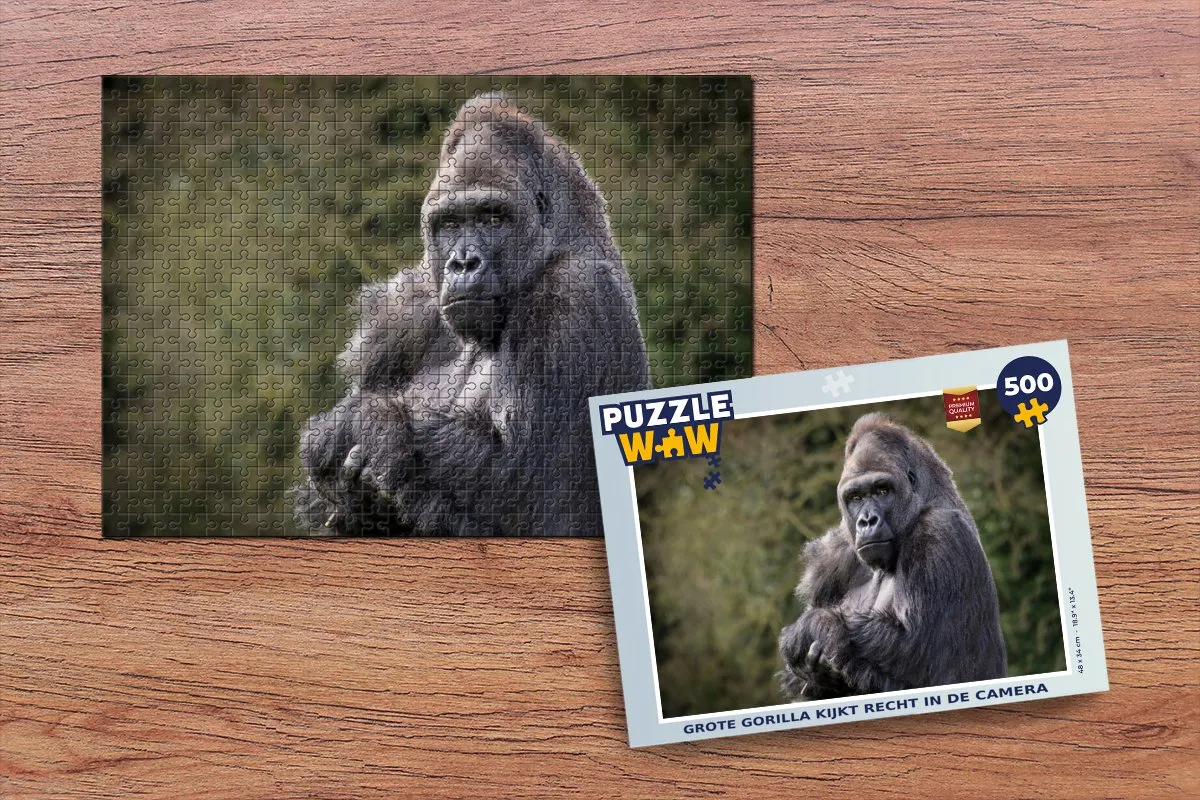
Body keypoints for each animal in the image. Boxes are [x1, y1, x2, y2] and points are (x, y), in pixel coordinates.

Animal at [294, 94, 652, 536]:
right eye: (449, 223)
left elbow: (525, 483)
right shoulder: (403, 312)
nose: (463, 263)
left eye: (492, 217)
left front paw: (362, 424)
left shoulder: (576, 299)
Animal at [778, 413, 1007, 700]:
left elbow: (916, 647)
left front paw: (809, 629)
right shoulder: (833, 557)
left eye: (882, 490)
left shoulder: (939, 532)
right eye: (856, 497)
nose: (867, 521)